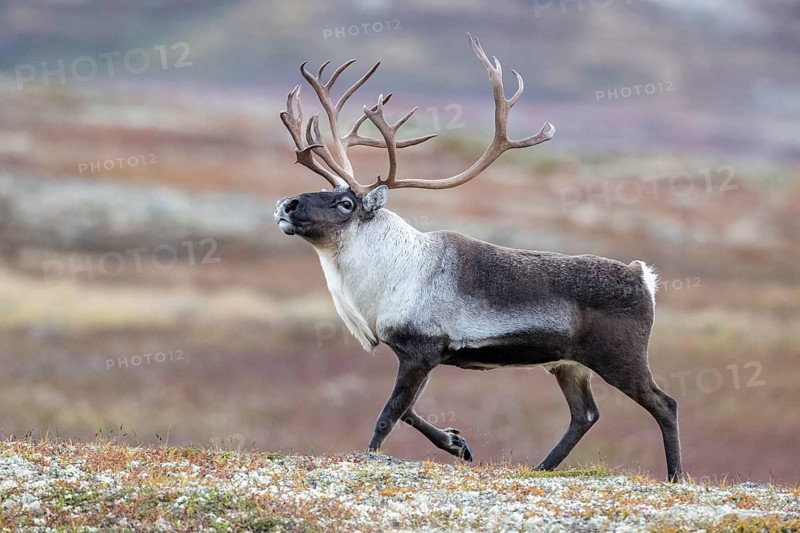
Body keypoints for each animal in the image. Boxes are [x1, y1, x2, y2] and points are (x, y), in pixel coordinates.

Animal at [274, 35, 683, 481]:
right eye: (327, 191)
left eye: (346, 203)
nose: (286, 204)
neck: (388, 273)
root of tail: (642, 276)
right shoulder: (424, 356)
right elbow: (409, 411)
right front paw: (457, 443)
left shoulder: (421, 350)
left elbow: (388, 415)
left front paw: (371, 457)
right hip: (568, 364)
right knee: (585, 415)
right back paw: (540, 468)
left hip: (620, 357)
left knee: (664, 404)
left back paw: (675, 476)